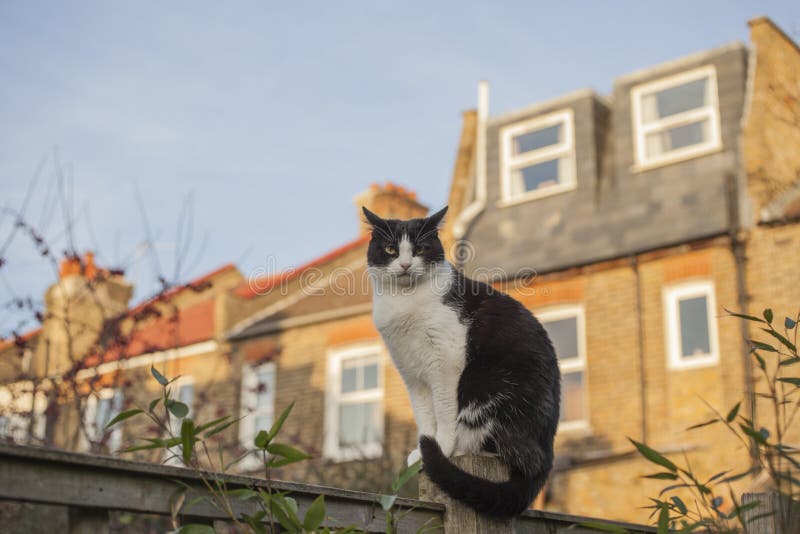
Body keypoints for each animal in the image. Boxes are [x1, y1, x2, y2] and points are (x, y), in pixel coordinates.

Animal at [366, 206, 560, 520]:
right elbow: (424, 414)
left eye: (420, 248)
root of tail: (548, 452)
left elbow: (444, 411)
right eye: (390, 249)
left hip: (485, 386)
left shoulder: (446, 362)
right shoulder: (411, 372)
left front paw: (441, 447)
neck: (405, 302)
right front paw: (422, 448)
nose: (405, 264)